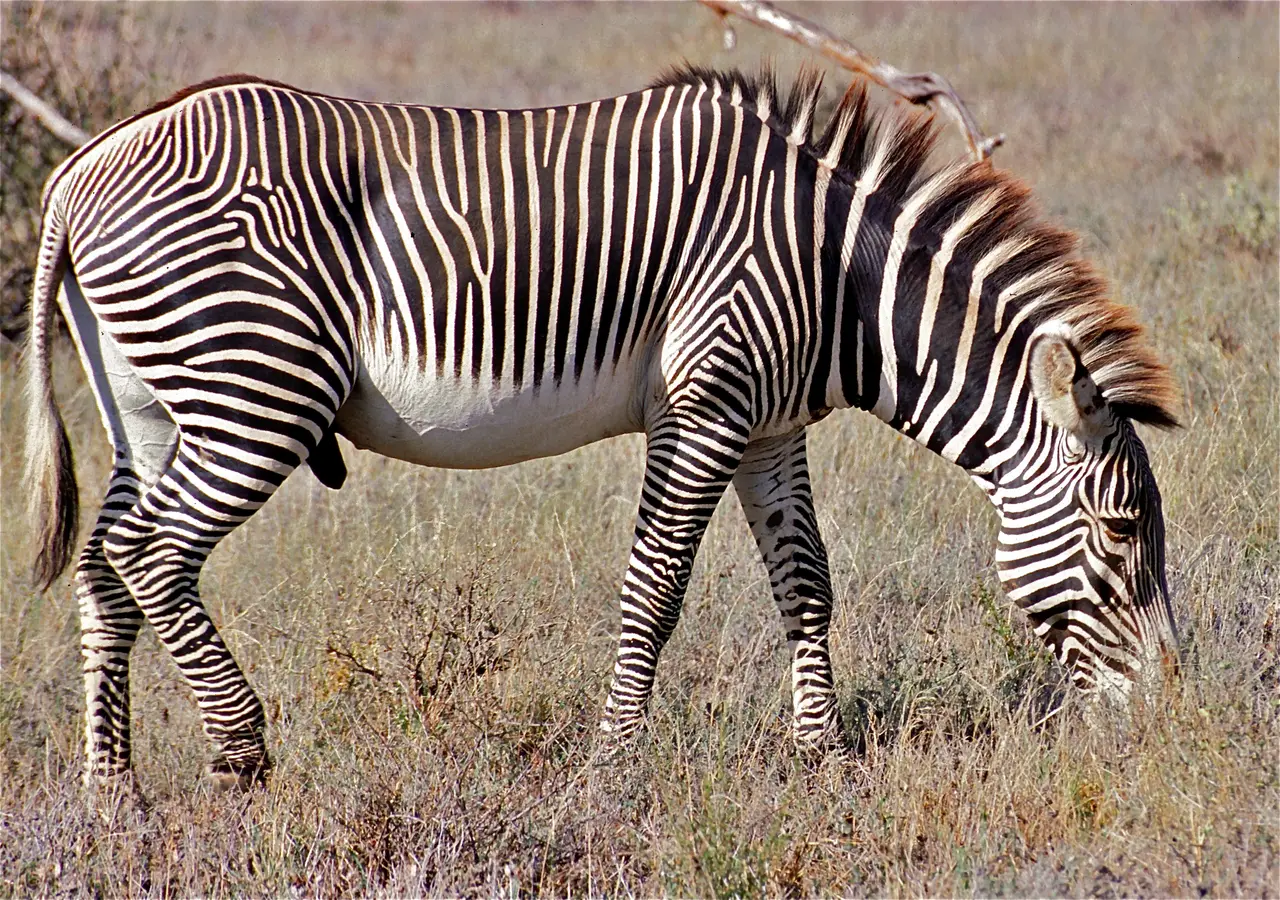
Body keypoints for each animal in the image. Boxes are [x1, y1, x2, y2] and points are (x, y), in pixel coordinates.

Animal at [25, 66, 1181, 791]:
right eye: (1122, 532)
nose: (1164, 718)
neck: (833, 276)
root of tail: (80, 170)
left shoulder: (770, 427)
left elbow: (806, 583)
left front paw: (821, 759)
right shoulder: (704, 406)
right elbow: (654, 591)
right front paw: (614, 766)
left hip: (152, 402)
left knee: (104, 566)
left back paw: (112, 794)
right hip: (255, 385)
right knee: (151, 552)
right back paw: (239, 750)